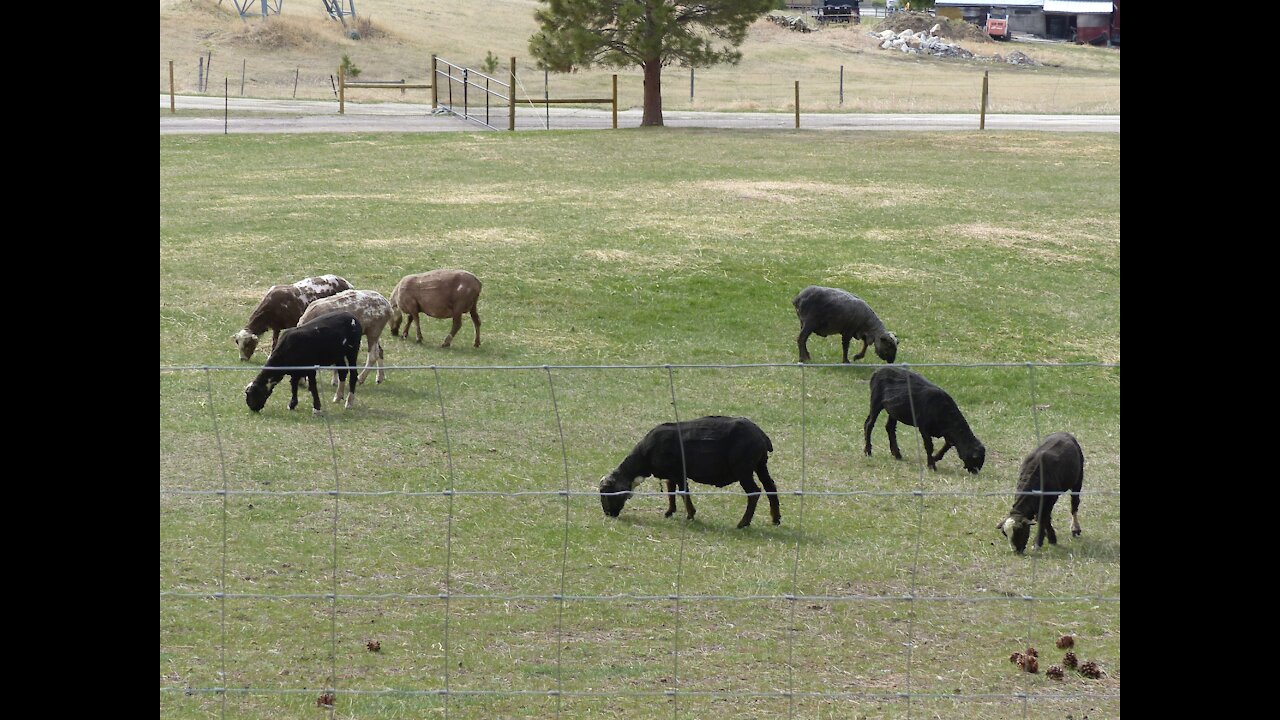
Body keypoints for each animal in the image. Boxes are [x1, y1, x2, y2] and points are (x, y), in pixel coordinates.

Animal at [599, 415, 778, 527]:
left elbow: (683, 492)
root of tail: (761, 436)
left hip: (743, 468)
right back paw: (776, 519)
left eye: (607, 494)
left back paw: (743, 523)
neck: (644, 458)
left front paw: (690, 514)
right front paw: (669, 512)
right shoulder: (670, 475)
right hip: (760, 464)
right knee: (770, 487)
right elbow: (671, 491)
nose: (608, 514)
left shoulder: (678, 472)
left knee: (754, 492)